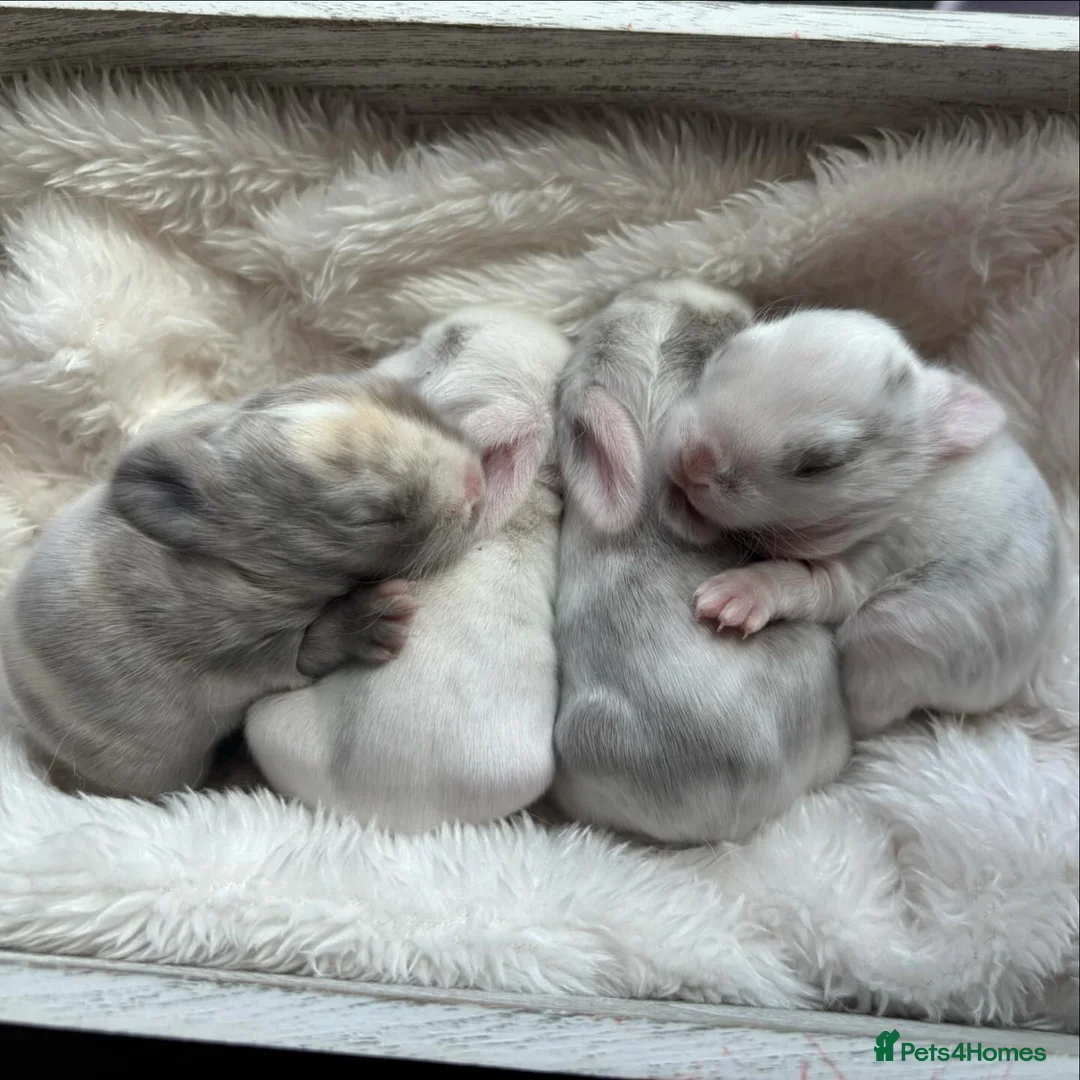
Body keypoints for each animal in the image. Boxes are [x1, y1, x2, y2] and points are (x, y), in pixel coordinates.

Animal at [0, 373, 485, 797]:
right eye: (372, 517)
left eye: (395, 395)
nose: (477, 483)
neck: (245, 562)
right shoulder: (245, 647)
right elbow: (310, 649)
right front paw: (379, 617)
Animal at [660, 307, 1067, 736]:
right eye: (727, 352)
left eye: (820, 464)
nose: (694, 461)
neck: (902, 491)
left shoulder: (877, 553)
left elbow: (814, 584)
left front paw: (738, 594)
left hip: (899, 629)